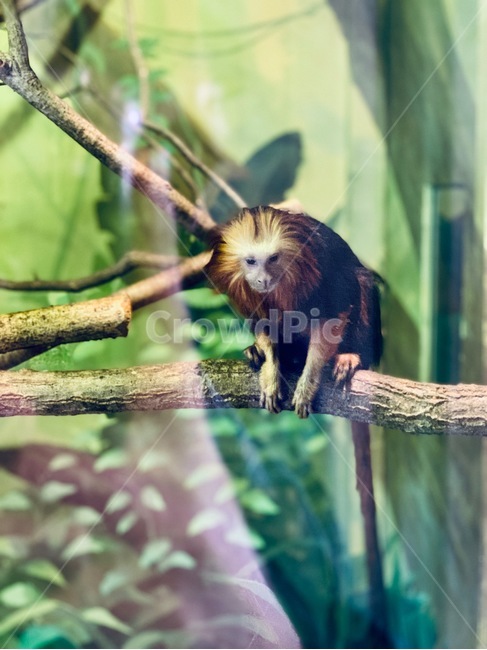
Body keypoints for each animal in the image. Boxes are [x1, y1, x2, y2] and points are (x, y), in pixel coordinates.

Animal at [205, 206, 382, 418]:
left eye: (273, 259)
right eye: (251, 261)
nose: (263, 279)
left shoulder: (323, 269)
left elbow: (332, 317)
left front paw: (307, 387)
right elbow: (263, 322)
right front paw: (271, 374)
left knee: (363, 282)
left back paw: (351, 356)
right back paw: (259, 352)